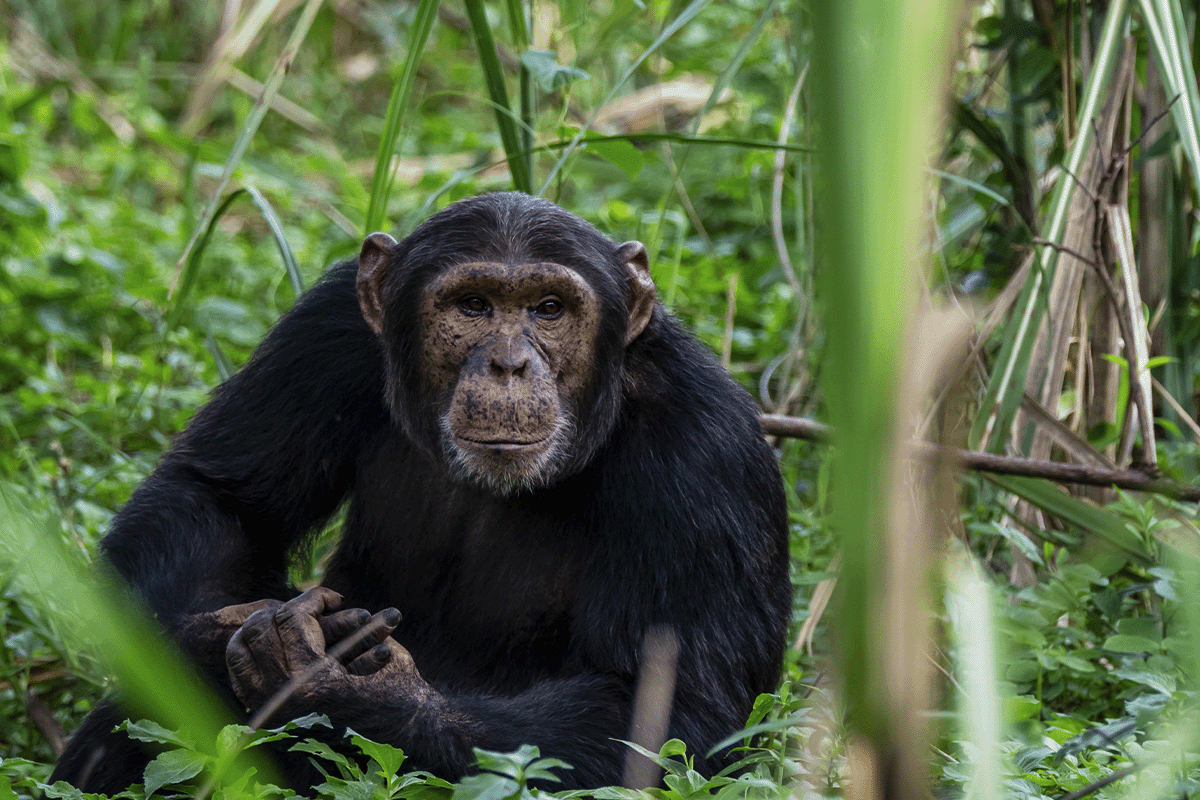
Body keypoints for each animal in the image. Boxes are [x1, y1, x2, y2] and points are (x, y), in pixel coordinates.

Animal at [51, 190, 792, 791]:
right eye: (474, 305)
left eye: (550, 308)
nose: (509, 363)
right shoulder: (326, 328)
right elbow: (219, 495)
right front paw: (211, 633)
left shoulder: (704, 452)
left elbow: (669, 713)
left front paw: (357, 693)